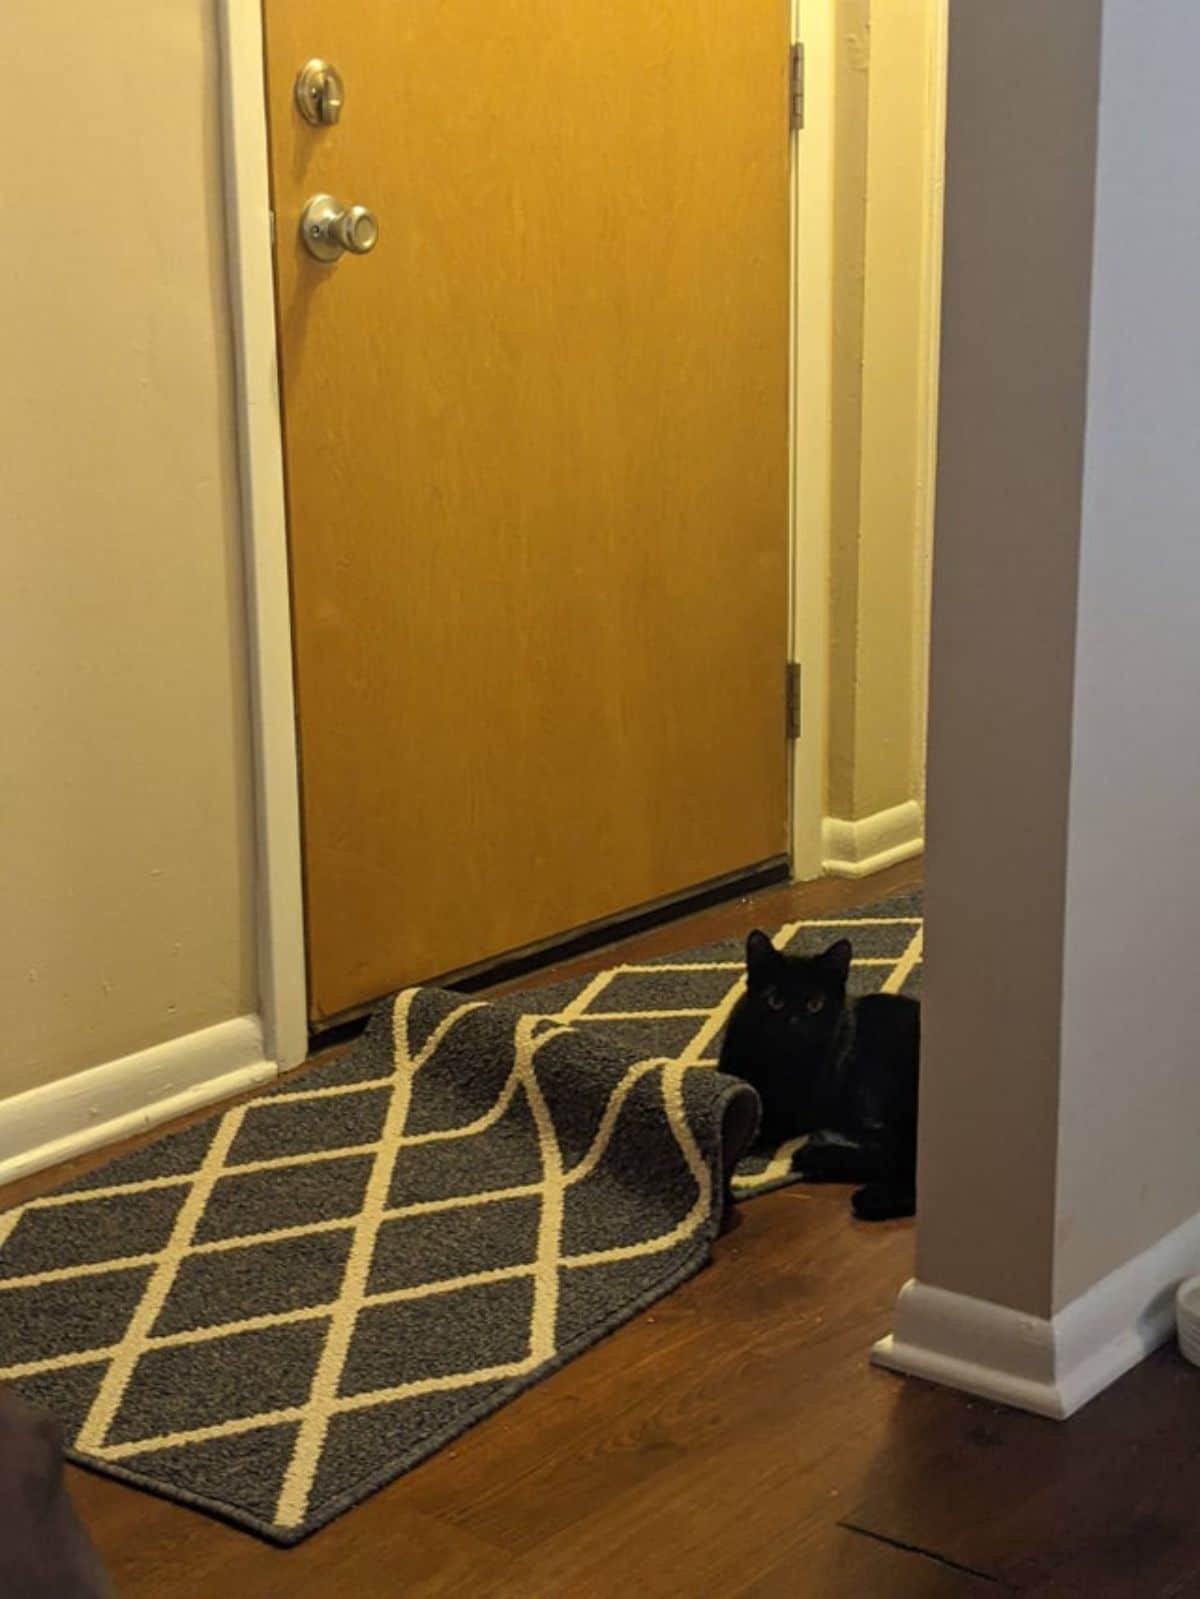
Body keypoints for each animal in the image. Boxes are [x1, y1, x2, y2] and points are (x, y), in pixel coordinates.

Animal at [723, 927, 921, 1221]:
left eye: (815, 1004)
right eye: (775, 1001)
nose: (794, 1024)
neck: (775, 1061)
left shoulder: (792, 1112)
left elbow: (756, 1126)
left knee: (899, 1152)